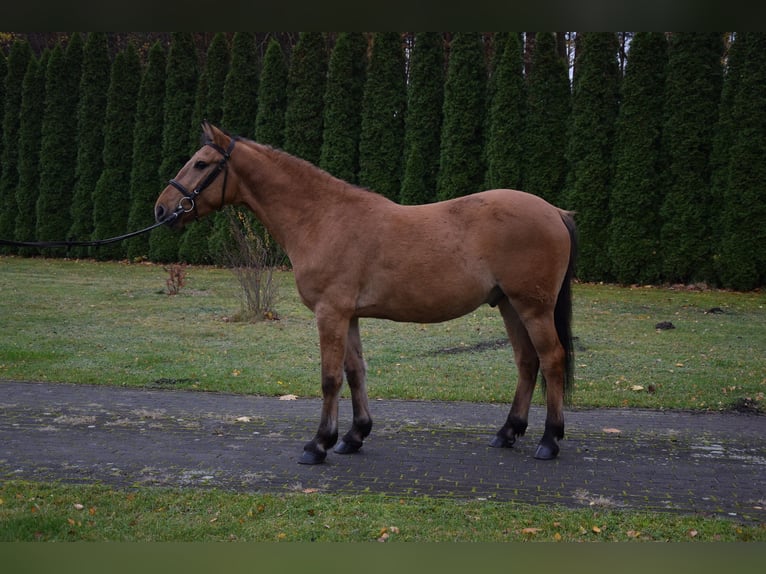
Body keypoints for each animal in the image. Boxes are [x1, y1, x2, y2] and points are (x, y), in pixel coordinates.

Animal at [154, 122, 577, 465]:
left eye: (202, 164)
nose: (161, 210)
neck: (322, 218)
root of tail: (555, 212)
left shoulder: (330, 313)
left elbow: (330, 378)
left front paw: (318, 445)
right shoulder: (349, 315)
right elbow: (355, 372)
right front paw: (353, 437)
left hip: (533, 307)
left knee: (552, 359)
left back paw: (549, 441)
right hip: (509, 305)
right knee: (527, 361)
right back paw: (508, 432)